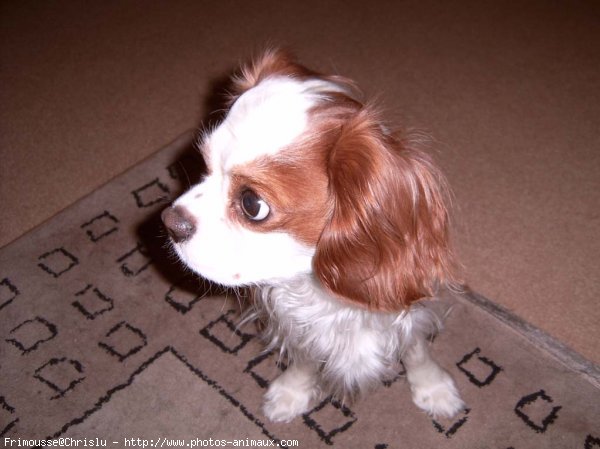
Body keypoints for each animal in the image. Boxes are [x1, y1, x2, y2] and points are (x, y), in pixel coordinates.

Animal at [162, 50, 466, 424]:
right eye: (203, 166)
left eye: (252, 204)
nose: (170, 222)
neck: (319, 288)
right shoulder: (298, 323)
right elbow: (305, 355)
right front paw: (294, 390)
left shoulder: (408, 307)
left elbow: (416, 348)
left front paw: (432, 387)